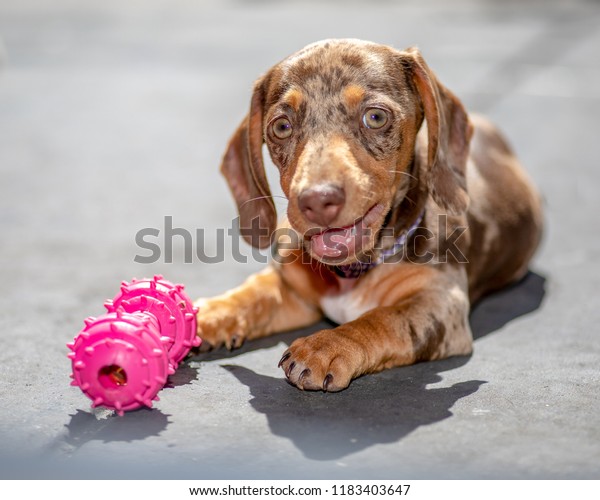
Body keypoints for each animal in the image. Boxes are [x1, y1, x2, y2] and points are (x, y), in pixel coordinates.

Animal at [193, 40, 544, 390]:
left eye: (375, 117)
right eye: (281, 126)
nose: (317, 201)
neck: (350, 273)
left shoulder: (441, 304)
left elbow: (383, 318)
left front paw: (326, 346)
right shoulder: (294, 292)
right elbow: (256, 293)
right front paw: (211, 313)